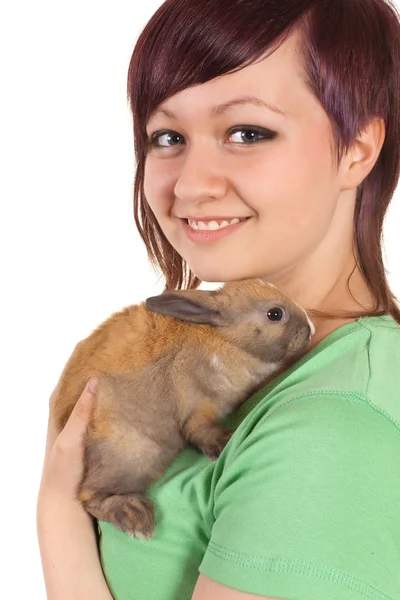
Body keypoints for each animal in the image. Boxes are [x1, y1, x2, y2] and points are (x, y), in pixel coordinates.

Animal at [54, 280, 316, 540]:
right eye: (275, 314)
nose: (311, 329)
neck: (226, 339)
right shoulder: (197, 407)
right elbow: (201, 431)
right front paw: (225, 441)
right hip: (130, 453)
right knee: (89, 495)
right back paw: (134, 515)